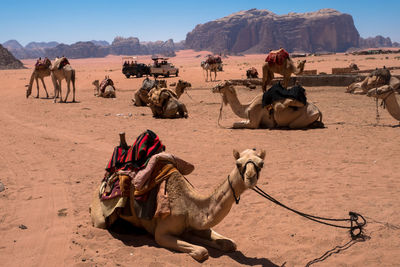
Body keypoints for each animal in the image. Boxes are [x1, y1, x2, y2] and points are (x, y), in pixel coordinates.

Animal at [90, 147, 266, 262]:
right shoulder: (161, 233)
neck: (190, 206)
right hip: (100, 217)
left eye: (261, 164)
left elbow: (230, 244)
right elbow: (202, 251)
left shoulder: (199, 225)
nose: (250, 177)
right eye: (238, 163)